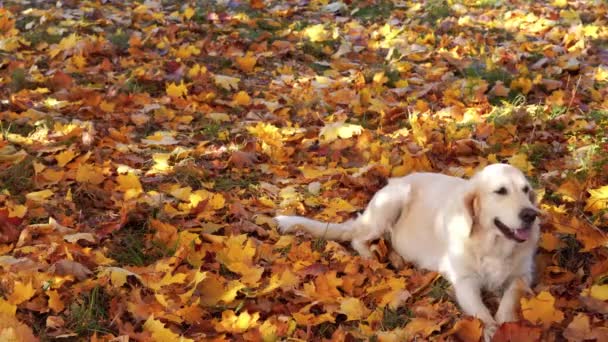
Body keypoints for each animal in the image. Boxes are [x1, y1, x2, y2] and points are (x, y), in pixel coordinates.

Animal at [274, 163, 536, 340]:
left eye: (525, 190)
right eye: (500, 191)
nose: (532, 215)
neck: (494, 244)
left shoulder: (523, 275)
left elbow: (511, 296)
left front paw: (506, 323)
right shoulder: (465, 280)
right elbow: (481, 312)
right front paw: (492, 328)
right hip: (390, 203)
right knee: (359, 239)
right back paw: (371, 259)